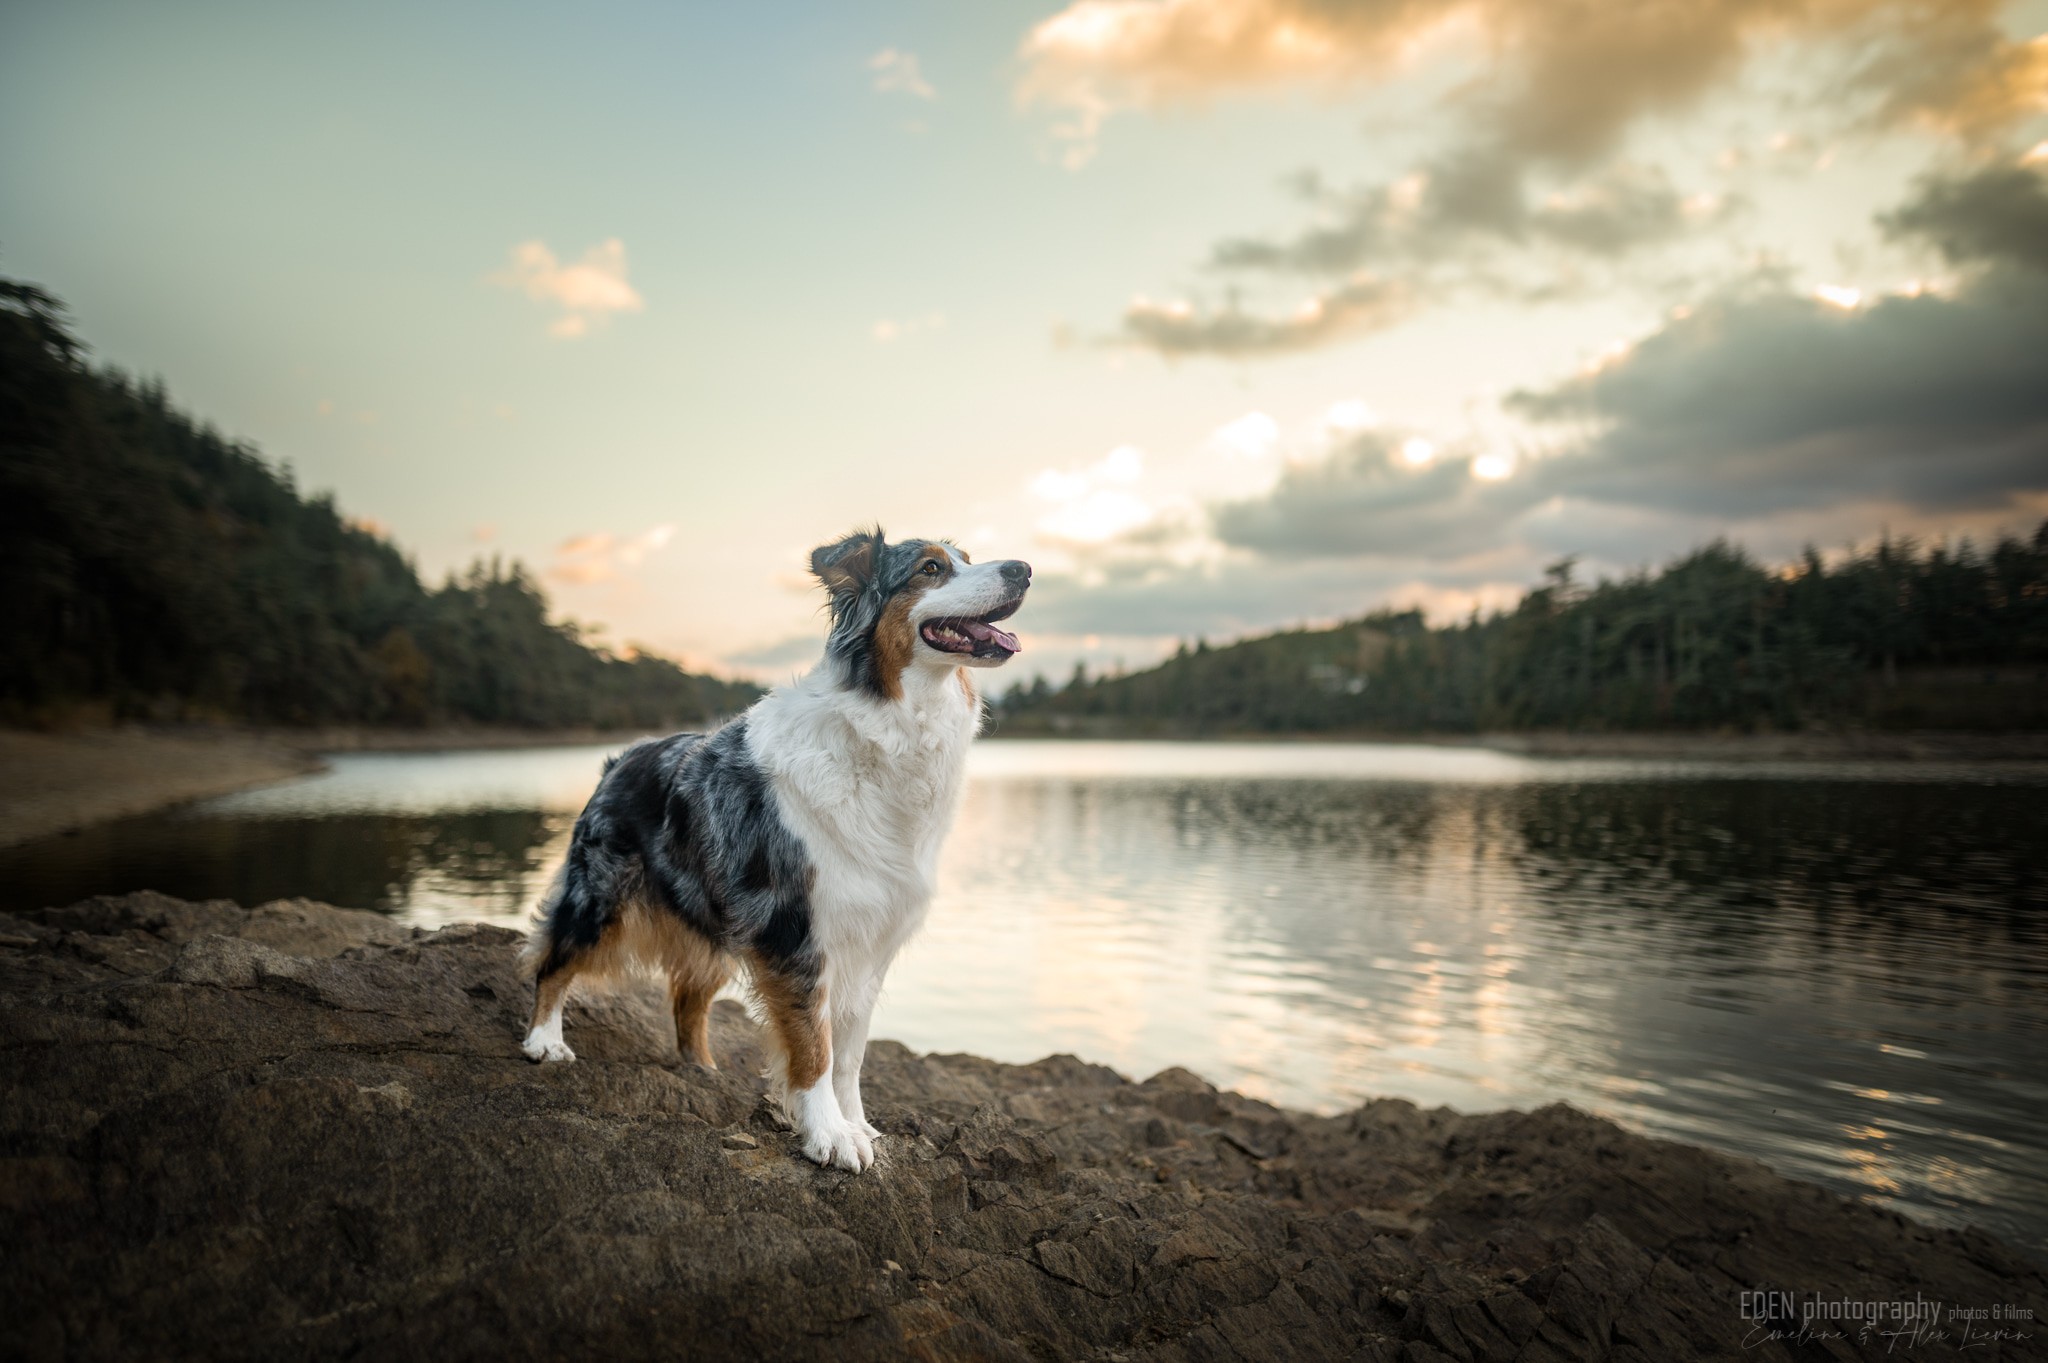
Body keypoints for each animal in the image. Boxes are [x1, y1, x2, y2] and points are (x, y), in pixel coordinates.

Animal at [512, 528, 1024, 1170]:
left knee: (688, 998)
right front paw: (829, 1134)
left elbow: (851, 1053)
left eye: (967, 558)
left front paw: (857, 1123)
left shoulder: (870, 936)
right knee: (555, 959)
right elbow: (814, 1047)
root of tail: (622, 757)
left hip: (712, 921)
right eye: (930, 568)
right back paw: (544, 1040)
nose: (1024, 569)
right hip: (601, 896)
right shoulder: (795, 929)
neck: (890, 722)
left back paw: (701, 1071)